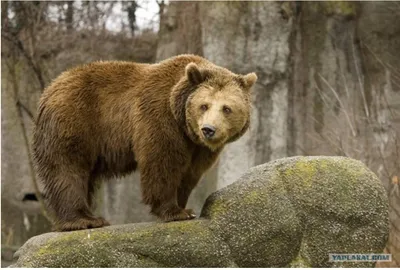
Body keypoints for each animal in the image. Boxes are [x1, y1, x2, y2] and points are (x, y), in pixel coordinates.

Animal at [31, 53, 256, 231]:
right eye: (204, 105)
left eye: (227, 108)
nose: (208, 129)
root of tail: (49, 88)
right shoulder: (159, 116)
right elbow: (162, 161)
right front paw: (175, 211)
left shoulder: (198, 147)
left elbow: (190, 172)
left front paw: (184, 206)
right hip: (74, 119)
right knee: (68, 168)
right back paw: (84, 220)